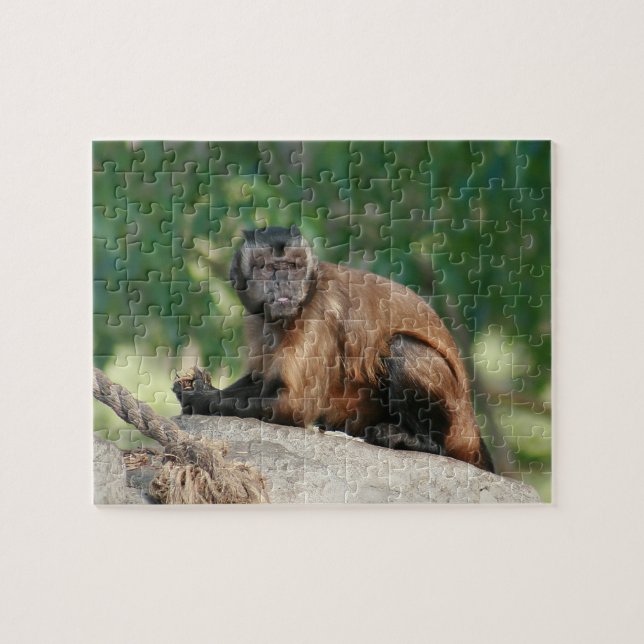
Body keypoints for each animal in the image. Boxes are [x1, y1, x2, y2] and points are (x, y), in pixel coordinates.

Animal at [173, 225, 494, 473]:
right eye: (268, 268)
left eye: (292, 268)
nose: (284, 283)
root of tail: (472, 432)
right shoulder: (259, 320)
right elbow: (261, 379)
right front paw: (199, 388)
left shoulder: (317, 312)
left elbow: (294, 405)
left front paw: (200, 398)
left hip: (456, 428)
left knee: (401, 346)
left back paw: (422, 442)